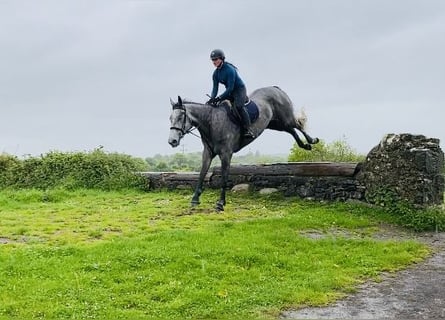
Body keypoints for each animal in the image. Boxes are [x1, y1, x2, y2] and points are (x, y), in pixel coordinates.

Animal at [168, 85, 318, 211]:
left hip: (285, 118)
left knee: (297, 125)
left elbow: (224, 178)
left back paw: (312, 140)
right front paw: (195, 199)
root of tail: (276, 88)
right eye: (170, 118)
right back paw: (305, 145)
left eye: (181, 117)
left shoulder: (226, 154)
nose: (172, 141)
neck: (212, 122)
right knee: (291, 130)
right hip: (275, 124)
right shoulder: (208, 153)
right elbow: (201, 174)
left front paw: (220, 203)